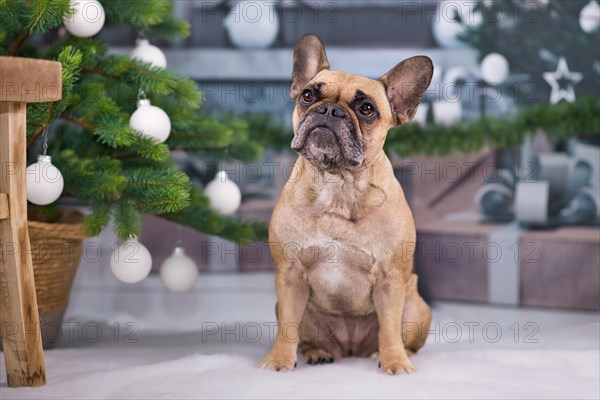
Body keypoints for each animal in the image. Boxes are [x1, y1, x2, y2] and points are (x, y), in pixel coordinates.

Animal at [260, 34, 434, 376]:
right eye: (308, 95)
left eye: (366, 109)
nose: (329, 110)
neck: (337, 184)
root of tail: (350, 349)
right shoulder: (289, 276)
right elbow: (287, 328)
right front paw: (278, 361)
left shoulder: (390, 280)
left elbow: (389, 328)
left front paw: (394, 363)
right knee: (304, 337)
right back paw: (317, 353)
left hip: (416, 306)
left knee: (402, 338)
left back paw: (386, 355)